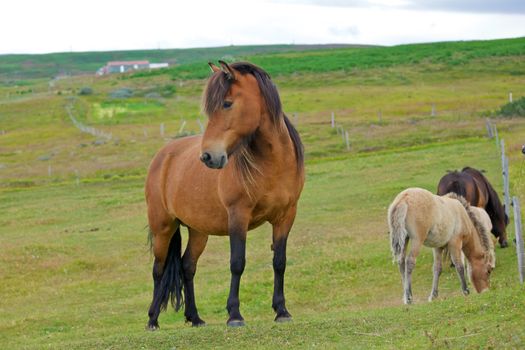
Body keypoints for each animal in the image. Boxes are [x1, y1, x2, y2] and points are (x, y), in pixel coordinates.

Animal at [145, 61, 304, 330]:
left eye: (227, 103)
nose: (208, 156)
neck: (273, 165)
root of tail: (162, 156)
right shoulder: (238, 216)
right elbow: (237, 262)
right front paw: (235, 315)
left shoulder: (286, 216)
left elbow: (279, 262)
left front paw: (282, 311)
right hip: (163, 227)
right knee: (158, 269)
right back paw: (153, 320)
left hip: (198, 230)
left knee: (188, 266)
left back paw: (195, 318)